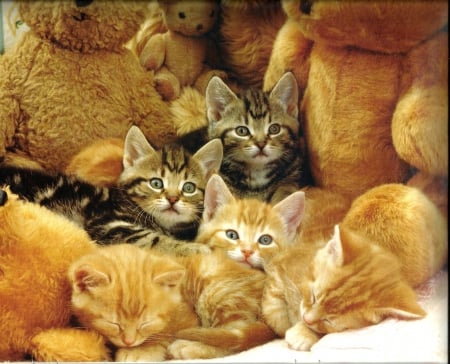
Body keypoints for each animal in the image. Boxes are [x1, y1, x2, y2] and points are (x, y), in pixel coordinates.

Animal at [0, 126, 223, 255]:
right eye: (156, 183)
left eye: (188, 187)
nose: (173, 199)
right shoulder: (108, 223)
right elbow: (152, 239)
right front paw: (196, 249)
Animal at [69, 243, 274, 360]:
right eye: (113, 324)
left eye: (146, 323)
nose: (129, 342)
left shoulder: (188, 320)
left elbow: (163, 336)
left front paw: (140, 351)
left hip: (219, 293)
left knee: (234, 340)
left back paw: (188, 347)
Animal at [206, 71, 308, 202]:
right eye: (242, 131)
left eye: (274, 129)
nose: (261, 144)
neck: (257, 172)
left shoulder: (293, 173)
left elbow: (286, 190)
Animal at [262, 183, 448, 352]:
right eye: (314, 297)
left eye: (329, 320)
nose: (306, 319)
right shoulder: (280, 263)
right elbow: (273, 304)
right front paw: (283, 324)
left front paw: (305, 333)